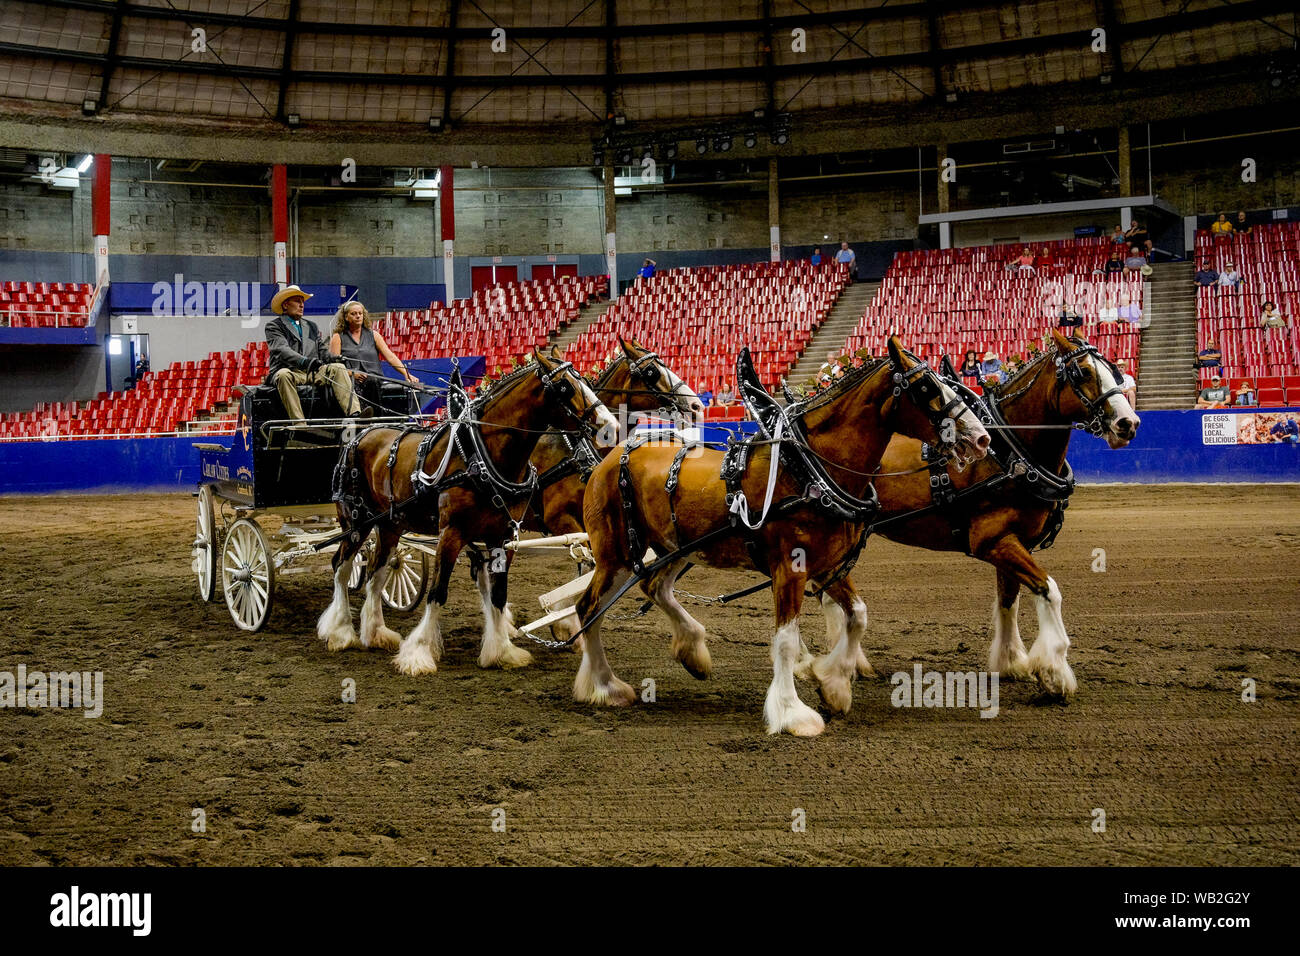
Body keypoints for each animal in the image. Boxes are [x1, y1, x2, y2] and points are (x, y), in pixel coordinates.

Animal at [317, 348, 616, 676]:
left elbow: (498, 594)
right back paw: (340, 632)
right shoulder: (452, 533)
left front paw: (502, 651)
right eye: (565, 387)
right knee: (342, 567)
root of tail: (359, 433)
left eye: (584, 379)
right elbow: (438, 591)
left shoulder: (503, 536)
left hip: (390, 525)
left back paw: (375, 633)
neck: (481, 457)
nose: (610, 425)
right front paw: (419, 653)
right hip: (356, 521)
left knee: (376, 572)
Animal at [553, 335, 987, 738]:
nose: (981, 438)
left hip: (676, 548)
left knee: (654, 588)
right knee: (588, 608)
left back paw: (692, 650)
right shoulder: (790, 568)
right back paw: (605, 686)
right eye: (926, 386)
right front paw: (793, 713)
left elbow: (859, 616)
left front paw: (833, 684)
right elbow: (786, 641)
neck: (807, 469)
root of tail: (611, 456)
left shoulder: (827, 565)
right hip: (615, 554)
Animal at [795, 330, 1144, 702]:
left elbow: (1009, 600)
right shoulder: (992, 540)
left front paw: (1011, 662)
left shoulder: (1013, 543)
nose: (1129, 423)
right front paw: (1054, 674)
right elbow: (1048, 590)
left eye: (1114, 370)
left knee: (826, 592)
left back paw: (849, 663)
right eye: (1082, 373)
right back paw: (806, 662)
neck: (1009, 451)